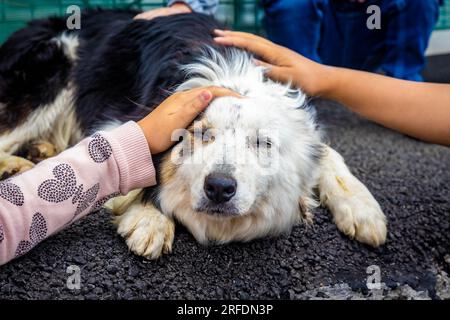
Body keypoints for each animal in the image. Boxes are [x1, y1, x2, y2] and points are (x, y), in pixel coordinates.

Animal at [0, 9, 386, 260]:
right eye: (199, 135)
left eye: (263, 143)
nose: (219, 188)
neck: (234, 81)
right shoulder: (126, 118)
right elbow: (138, 160)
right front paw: (149, 218)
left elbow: (327, 152)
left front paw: (361, 206)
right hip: (56, 61)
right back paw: (14, 165)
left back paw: (38, 150)